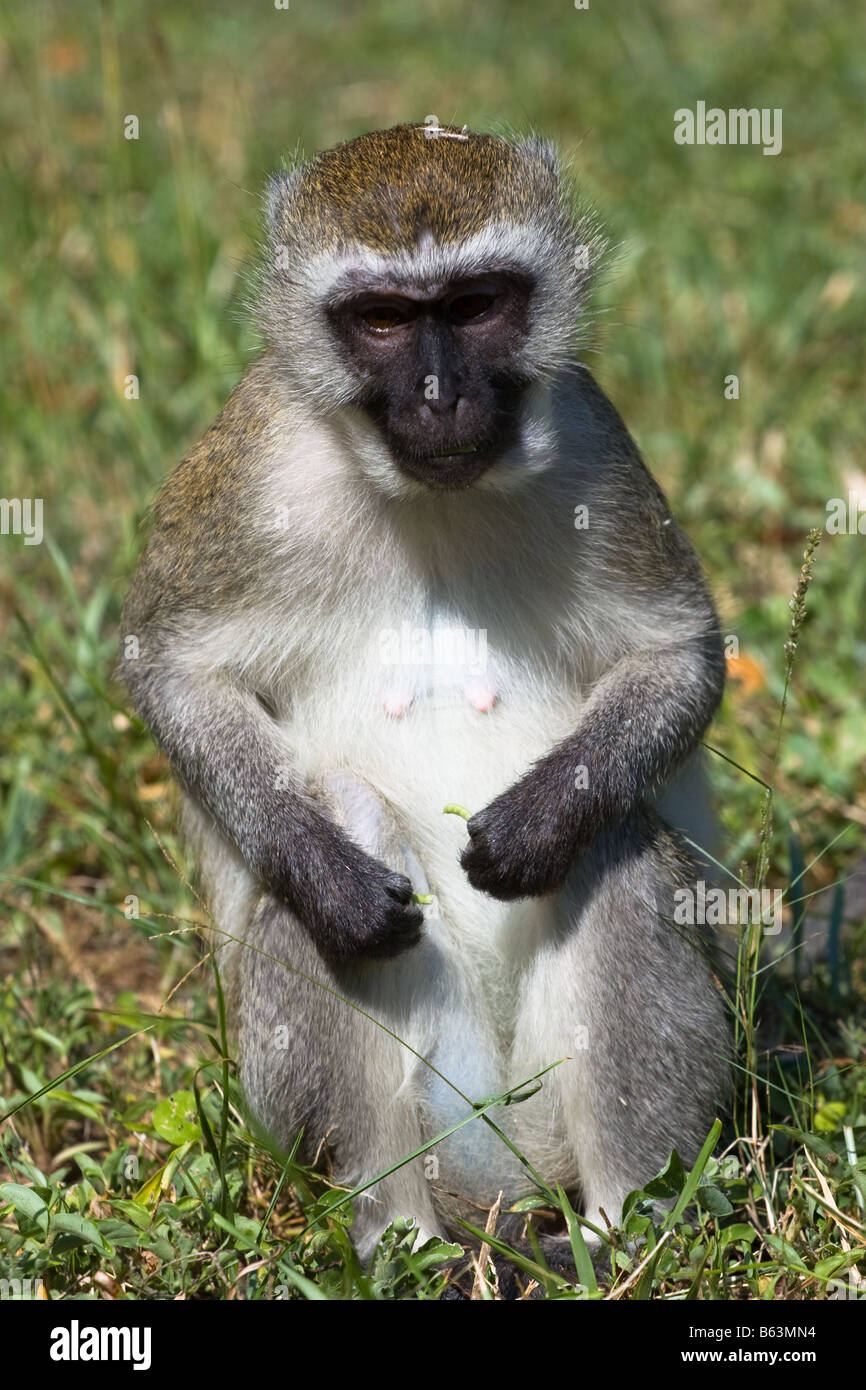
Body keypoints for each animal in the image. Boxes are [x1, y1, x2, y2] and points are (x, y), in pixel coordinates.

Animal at [122, 125, 733, 1273]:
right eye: (383, 319)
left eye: (477, 303)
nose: (443, 393)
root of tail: (502, 1186)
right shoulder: (250, 463)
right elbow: (168, 668)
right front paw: (329, 877)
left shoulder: (593, 437)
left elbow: (679, 655)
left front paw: (540, 822)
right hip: (430, 1118)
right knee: (331, 868)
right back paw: (401, 1235)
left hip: (536, 1108)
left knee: (619, 850)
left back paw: (623, 1221)